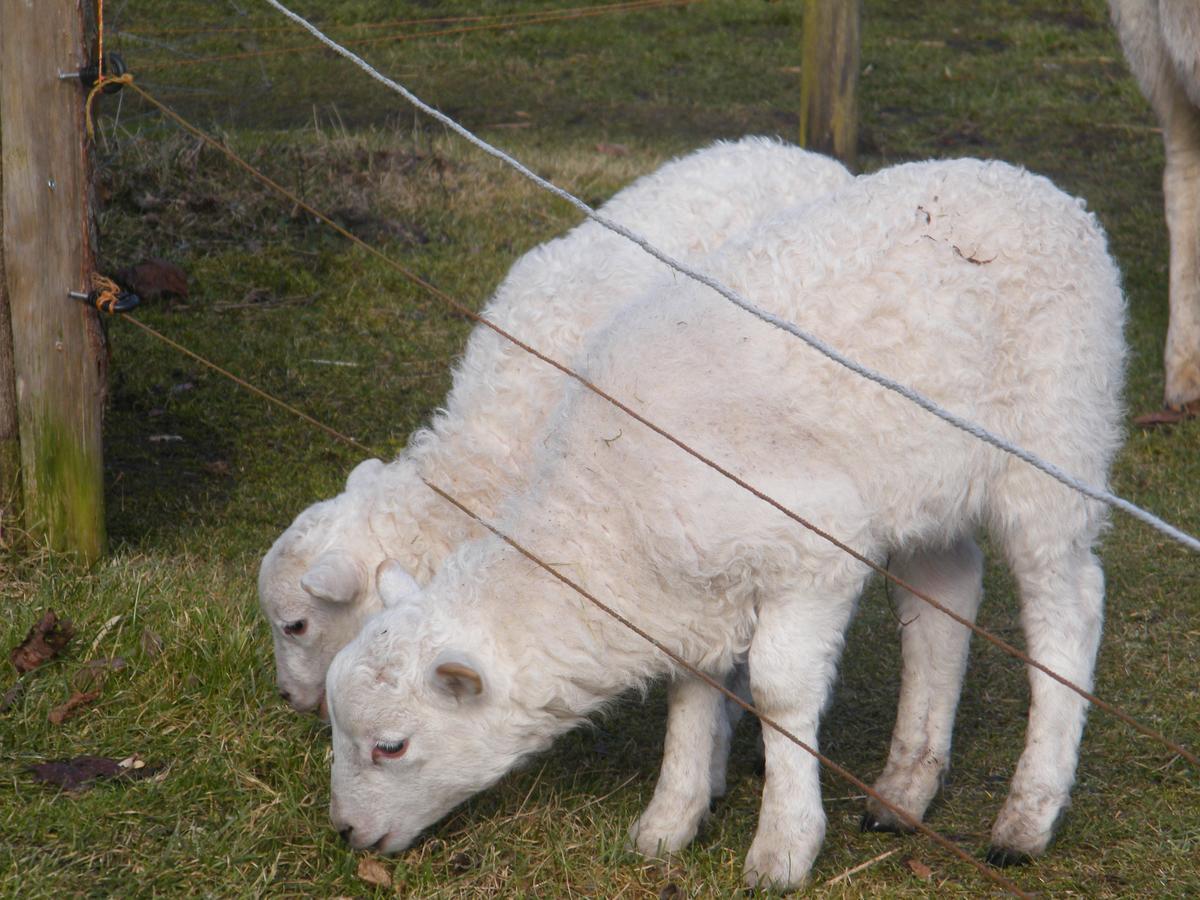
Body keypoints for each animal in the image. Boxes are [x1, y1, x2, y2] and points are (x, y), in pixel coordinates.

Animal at [326, 158, 1123, 892]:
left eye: (391, 746)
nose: (345, 833)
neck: (605, 517)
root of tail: (1040, 187)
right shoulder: (694, 588)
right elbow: (692, 693)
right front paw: (669, 820)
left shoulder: (814, 551)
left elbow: (777, 691)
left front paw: (784, 846)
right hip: (927, 482)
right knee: (943, 602)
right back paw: (904, 789)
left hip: (1055, 446)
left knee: (1067, 607)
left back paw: (1027, 816)